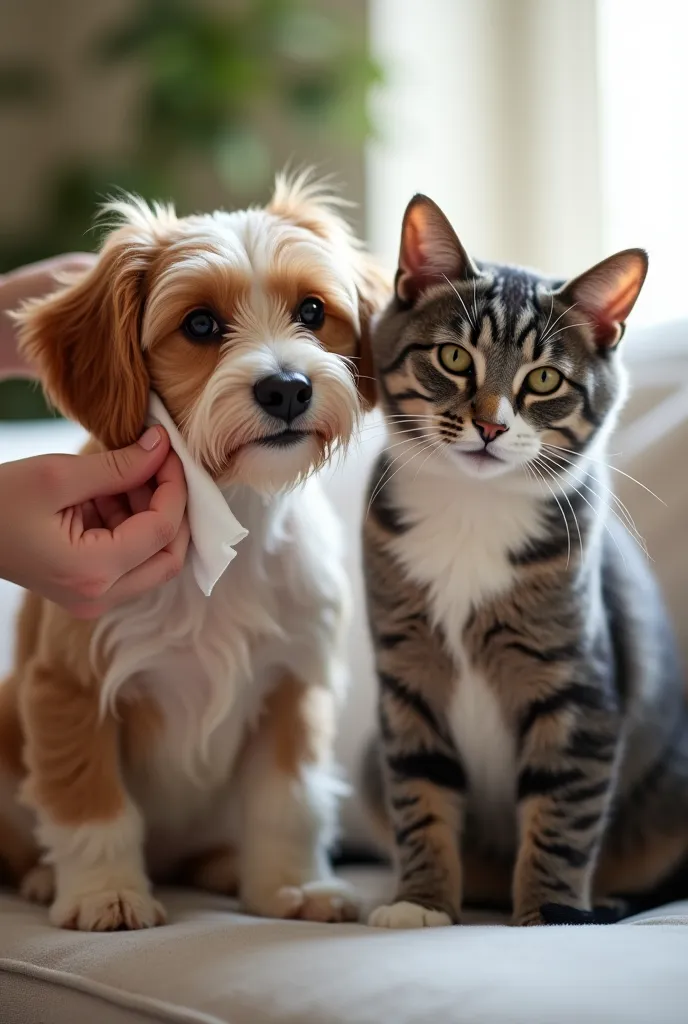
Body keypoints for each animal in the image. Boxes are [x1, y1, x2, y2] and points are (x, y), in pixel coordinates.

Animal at [0, 174, 387, 929]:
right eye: (201, 325)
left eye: (312, 310)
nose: (287, 387)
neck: (237, 513)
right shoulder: (69, 685)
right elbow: (91, 805)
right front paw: (106, 892)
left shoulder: (294, 683)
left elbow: (288, 801)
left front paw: (292, 885)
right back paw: (41, 878)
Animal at [362, 192, 683, 929]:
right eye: (454, 357)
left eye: (543, 379)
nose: (490, 425)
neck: (471, 511)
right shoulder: (405, 677)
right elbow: (419, 796)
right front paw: (420, 901)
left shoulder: (577, 687)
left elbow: (562, 813)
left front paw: (553, 915)